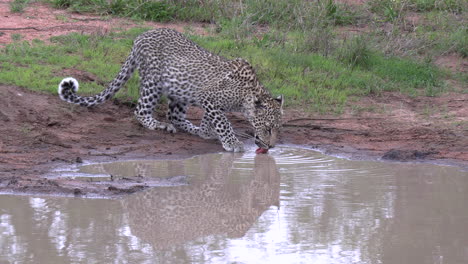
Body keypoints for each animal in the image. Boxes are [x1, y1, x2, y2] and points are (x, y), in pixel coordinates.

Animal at [59, 27, 284, 152]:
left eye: (277, 129)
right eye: (268, 128)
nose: (272, 146)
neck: (246, 96)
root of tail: (140, 36)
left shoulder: (210, 102)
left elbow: (212, 119)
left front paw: (206, 132)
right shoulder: (209, 98)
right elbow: (223, 122)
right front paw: (232, 142)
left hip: (180, 90)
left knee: (174, 115)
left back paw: (190, 128)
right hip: (153, 82)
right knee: (140, 111)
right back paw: (159, 125)